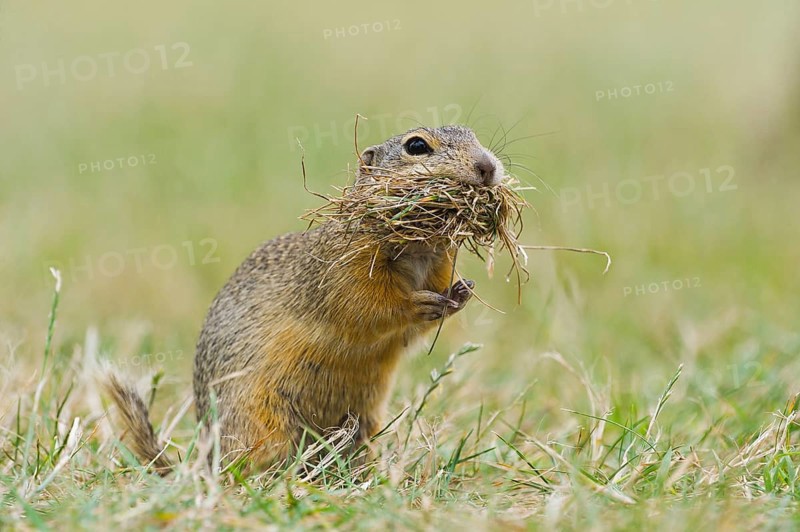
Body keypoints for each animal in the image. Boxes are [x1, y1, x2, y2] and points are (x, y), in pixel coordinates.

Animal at [105, 125, 505, 473]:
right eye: (417, 146)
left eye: (471, 133)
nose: (487, 166)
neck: (419, 253)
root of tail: (205, 462)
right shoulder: (344, 271)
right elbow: (370, 309)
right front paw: (420, 303)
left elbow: (410, 330)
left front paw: (461, 292)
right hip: (262, 421)